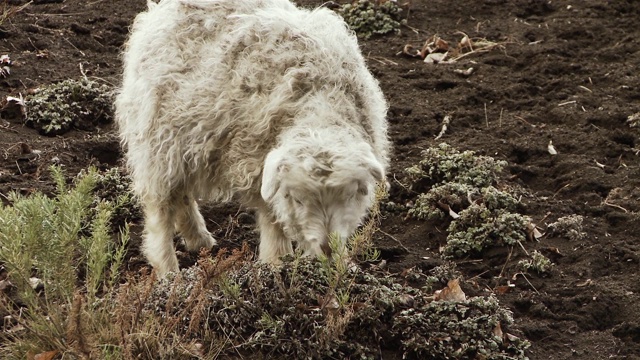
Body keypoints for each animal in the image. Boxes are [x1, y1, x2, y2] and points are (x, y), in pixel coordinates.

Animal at [117, 0, 392, 278]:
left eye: (349, 196)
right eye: (297, 199)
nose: (327, 248)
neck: (321, 102)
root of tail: (162, 10)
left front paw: (343, 264)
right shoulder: (257, 162)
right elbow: (272, 219)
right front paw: (276, 264)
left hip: (184, 138)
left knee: (182, 191)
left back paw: (198, 239)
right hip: (157, 139)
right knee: (160, 209)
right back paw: (168, 272)